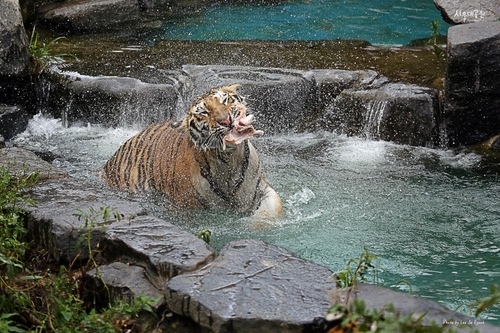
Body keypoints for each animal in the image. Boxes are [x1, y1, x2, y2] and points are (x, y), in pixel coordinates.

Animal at [99, 84, 284, 217]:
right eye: (205, 113)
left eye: (225, 101)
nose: (226, 121)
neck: (228, 159)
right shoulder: (187, 205)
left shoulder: (262, 189)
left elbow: (273, 208)